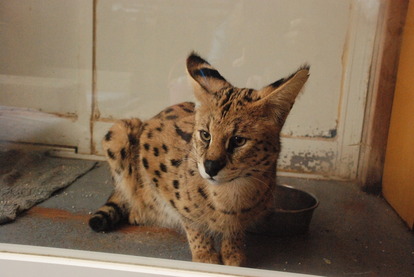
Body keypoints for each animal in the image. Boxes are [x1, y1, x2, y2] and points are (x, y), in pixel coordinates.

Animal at [88, 51, 308, 266]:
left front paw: (233, 254)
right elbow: (193, 222)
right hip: (119, 132)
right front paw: (205, 256)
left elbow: (234, 229)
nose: (210, 166)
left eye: (238, 141)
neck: (232, 192)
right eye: (205, 135)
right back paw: (139, 210)